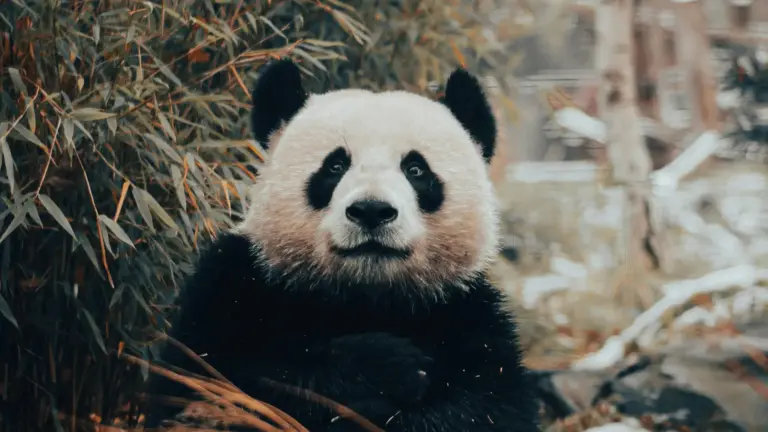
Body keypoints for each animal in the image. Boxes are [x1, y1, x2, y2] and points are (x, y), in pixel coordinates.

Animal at [143, 59, 540, 431]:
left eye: (416, 170)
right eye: (334, 166)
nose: (371, 210)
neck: (364, 297)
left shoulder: (467, 315)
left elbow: (486, 408)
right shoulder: (236, 285)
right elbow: (212, 385)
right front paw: (387, 366)